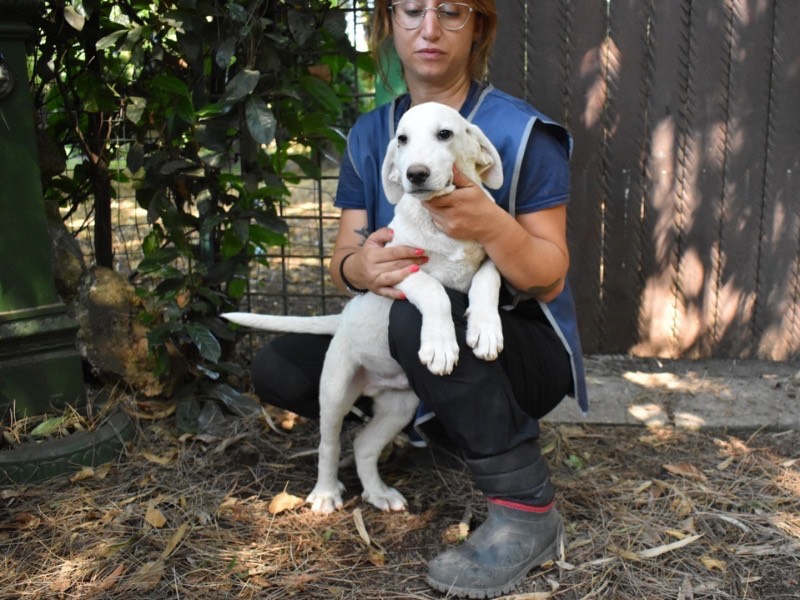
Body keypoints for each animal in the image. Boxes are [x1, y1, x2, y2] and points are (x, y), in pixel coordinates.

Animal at [222, 103, 504, 516]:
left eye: (445, 134)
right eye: (402, 139)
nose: (414, 174)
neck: (438, 222)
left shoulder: (489, 254)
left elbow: (488, 282)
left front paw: (485, 330)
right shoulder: (396, 268)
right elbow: (434, 289)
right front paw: (441, 346)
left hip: (400, 405)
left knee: (363, 446)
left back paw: (379, 493)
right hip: (335, 388)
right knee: (330, 443)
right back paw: (325, 493)